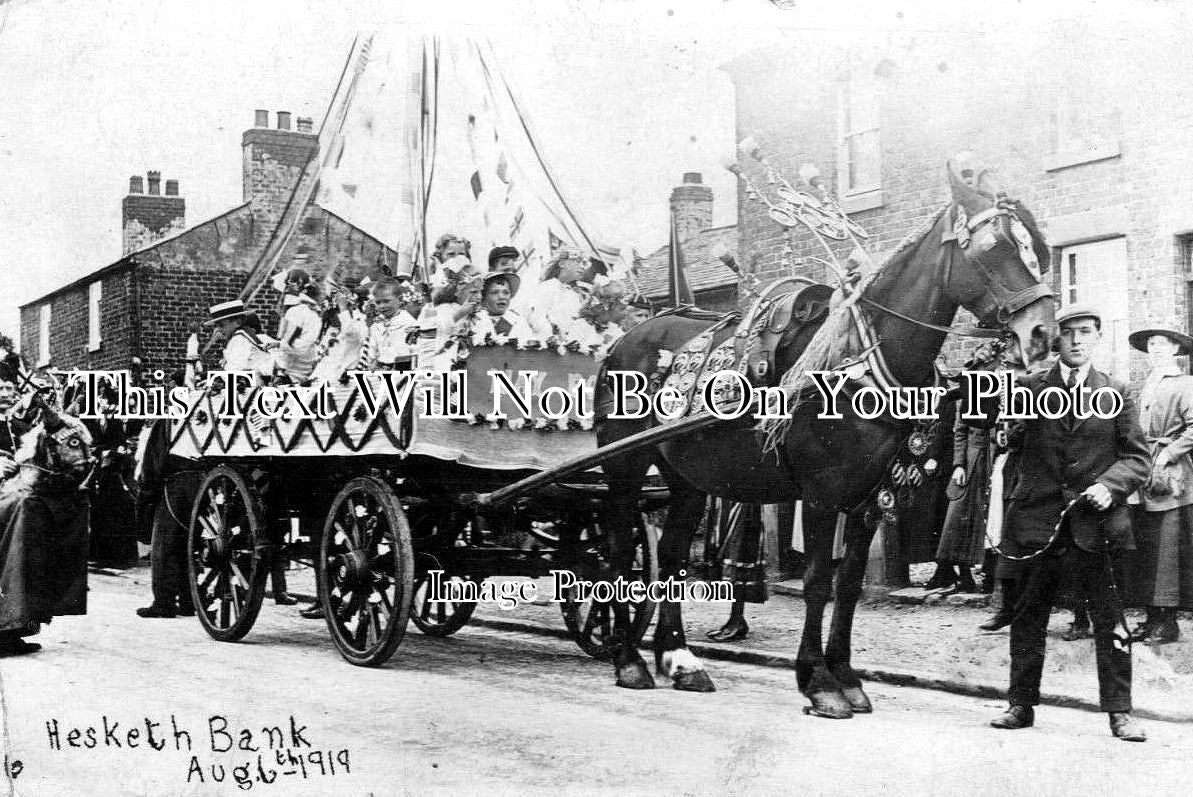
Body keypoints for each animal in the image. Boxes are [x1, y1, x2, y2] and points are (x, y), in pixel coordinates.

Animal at [596, 167, 1054, 715]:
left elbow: (849, 585)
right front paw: (818, 681)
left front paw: (847, 677)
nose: (1043, 333)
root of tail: (625, 340)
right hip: (625, 466)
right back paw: (629, 660)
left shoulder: (867, 498)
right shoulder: (819, 494)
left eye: (1036, 248)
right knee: (620, 551)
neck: (858, 362)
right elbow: (817, 583)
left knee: (671, 554)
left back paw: (680, 659)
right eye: (993, 247)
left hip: (686, 478)